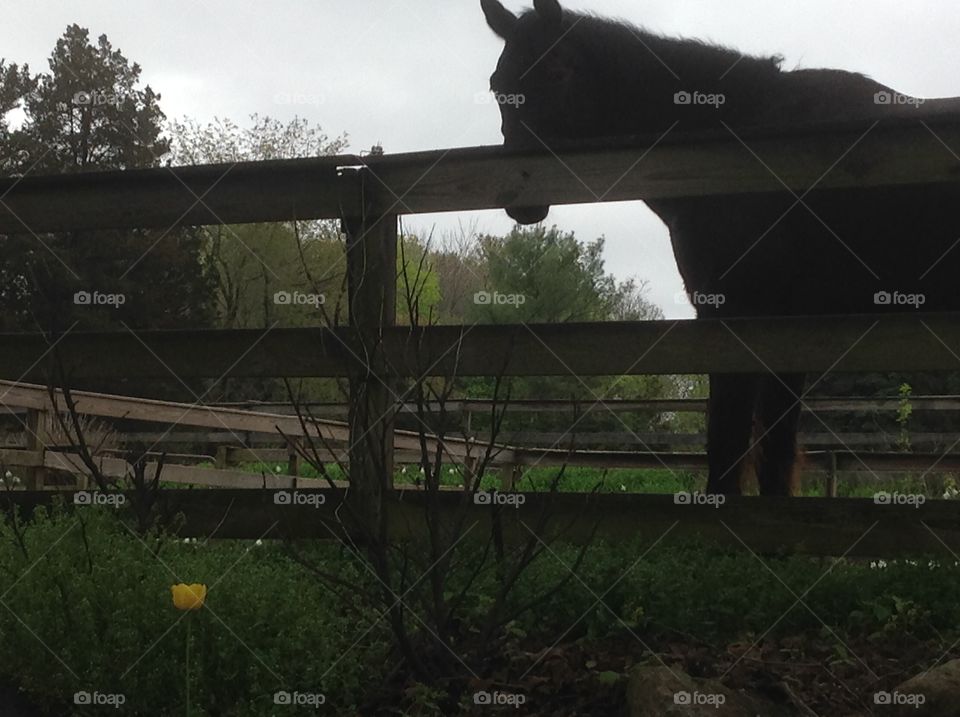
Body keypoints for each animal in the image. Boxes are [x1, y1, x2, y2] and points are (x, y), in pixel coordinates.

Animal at [484, 0, 960, 492]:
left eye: (558, 72)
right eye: (498, 86)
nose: (520, 196)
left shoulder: (734, 318)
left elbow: (728, 448)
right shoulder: (789, 333)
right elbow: (773, 455)